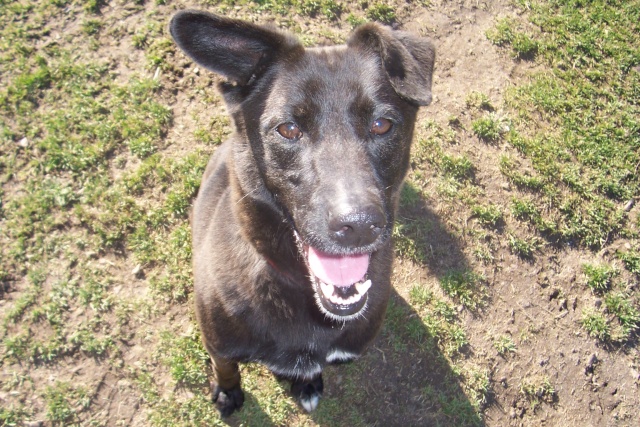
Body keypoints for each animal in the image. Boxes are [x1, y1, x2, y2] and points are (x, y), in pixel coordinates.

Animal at [169, 10, 436, 418]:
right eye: (288, 129)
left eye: (382, 125)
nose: (359, 226)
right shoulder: (219, 346)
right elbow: (225, 368)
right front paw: (228, 392)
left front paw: (306, 384)